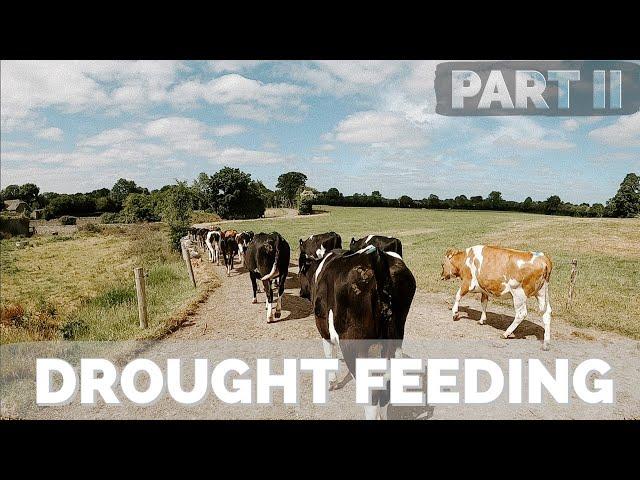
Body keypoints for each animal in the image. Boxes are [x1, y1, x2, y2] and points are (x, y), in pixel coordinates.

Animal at [298, 246, 416, 418]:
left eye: (300, 273)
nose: (300, 293)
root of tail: (378, 257)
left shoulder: (324, 329)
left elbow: (329, 355)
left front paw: (332, 382)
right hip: (395, 343)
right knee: (386, 390)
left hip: (353, 345)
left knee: (372, 397)